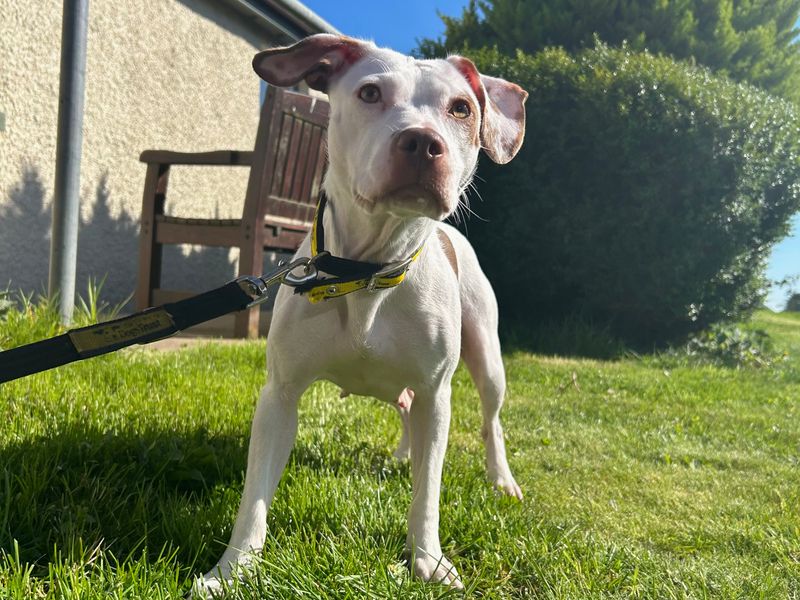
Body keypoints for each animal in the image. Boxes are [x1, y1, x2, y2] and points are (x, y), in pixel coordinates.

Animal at [198, 35, 528, 592]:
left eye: (461, 109)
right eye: (370, 92)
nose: (422, 142)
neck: (368, 270)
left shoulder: (437, 394)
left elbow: (428, 491)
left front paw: (429, 561)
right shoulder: (280, 394)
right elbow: (255, 496)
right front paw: (231, 570)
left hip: (488, 358)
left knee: (490, 420)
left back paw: (500, 479)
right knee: (405, 408)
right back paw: (402, 455)